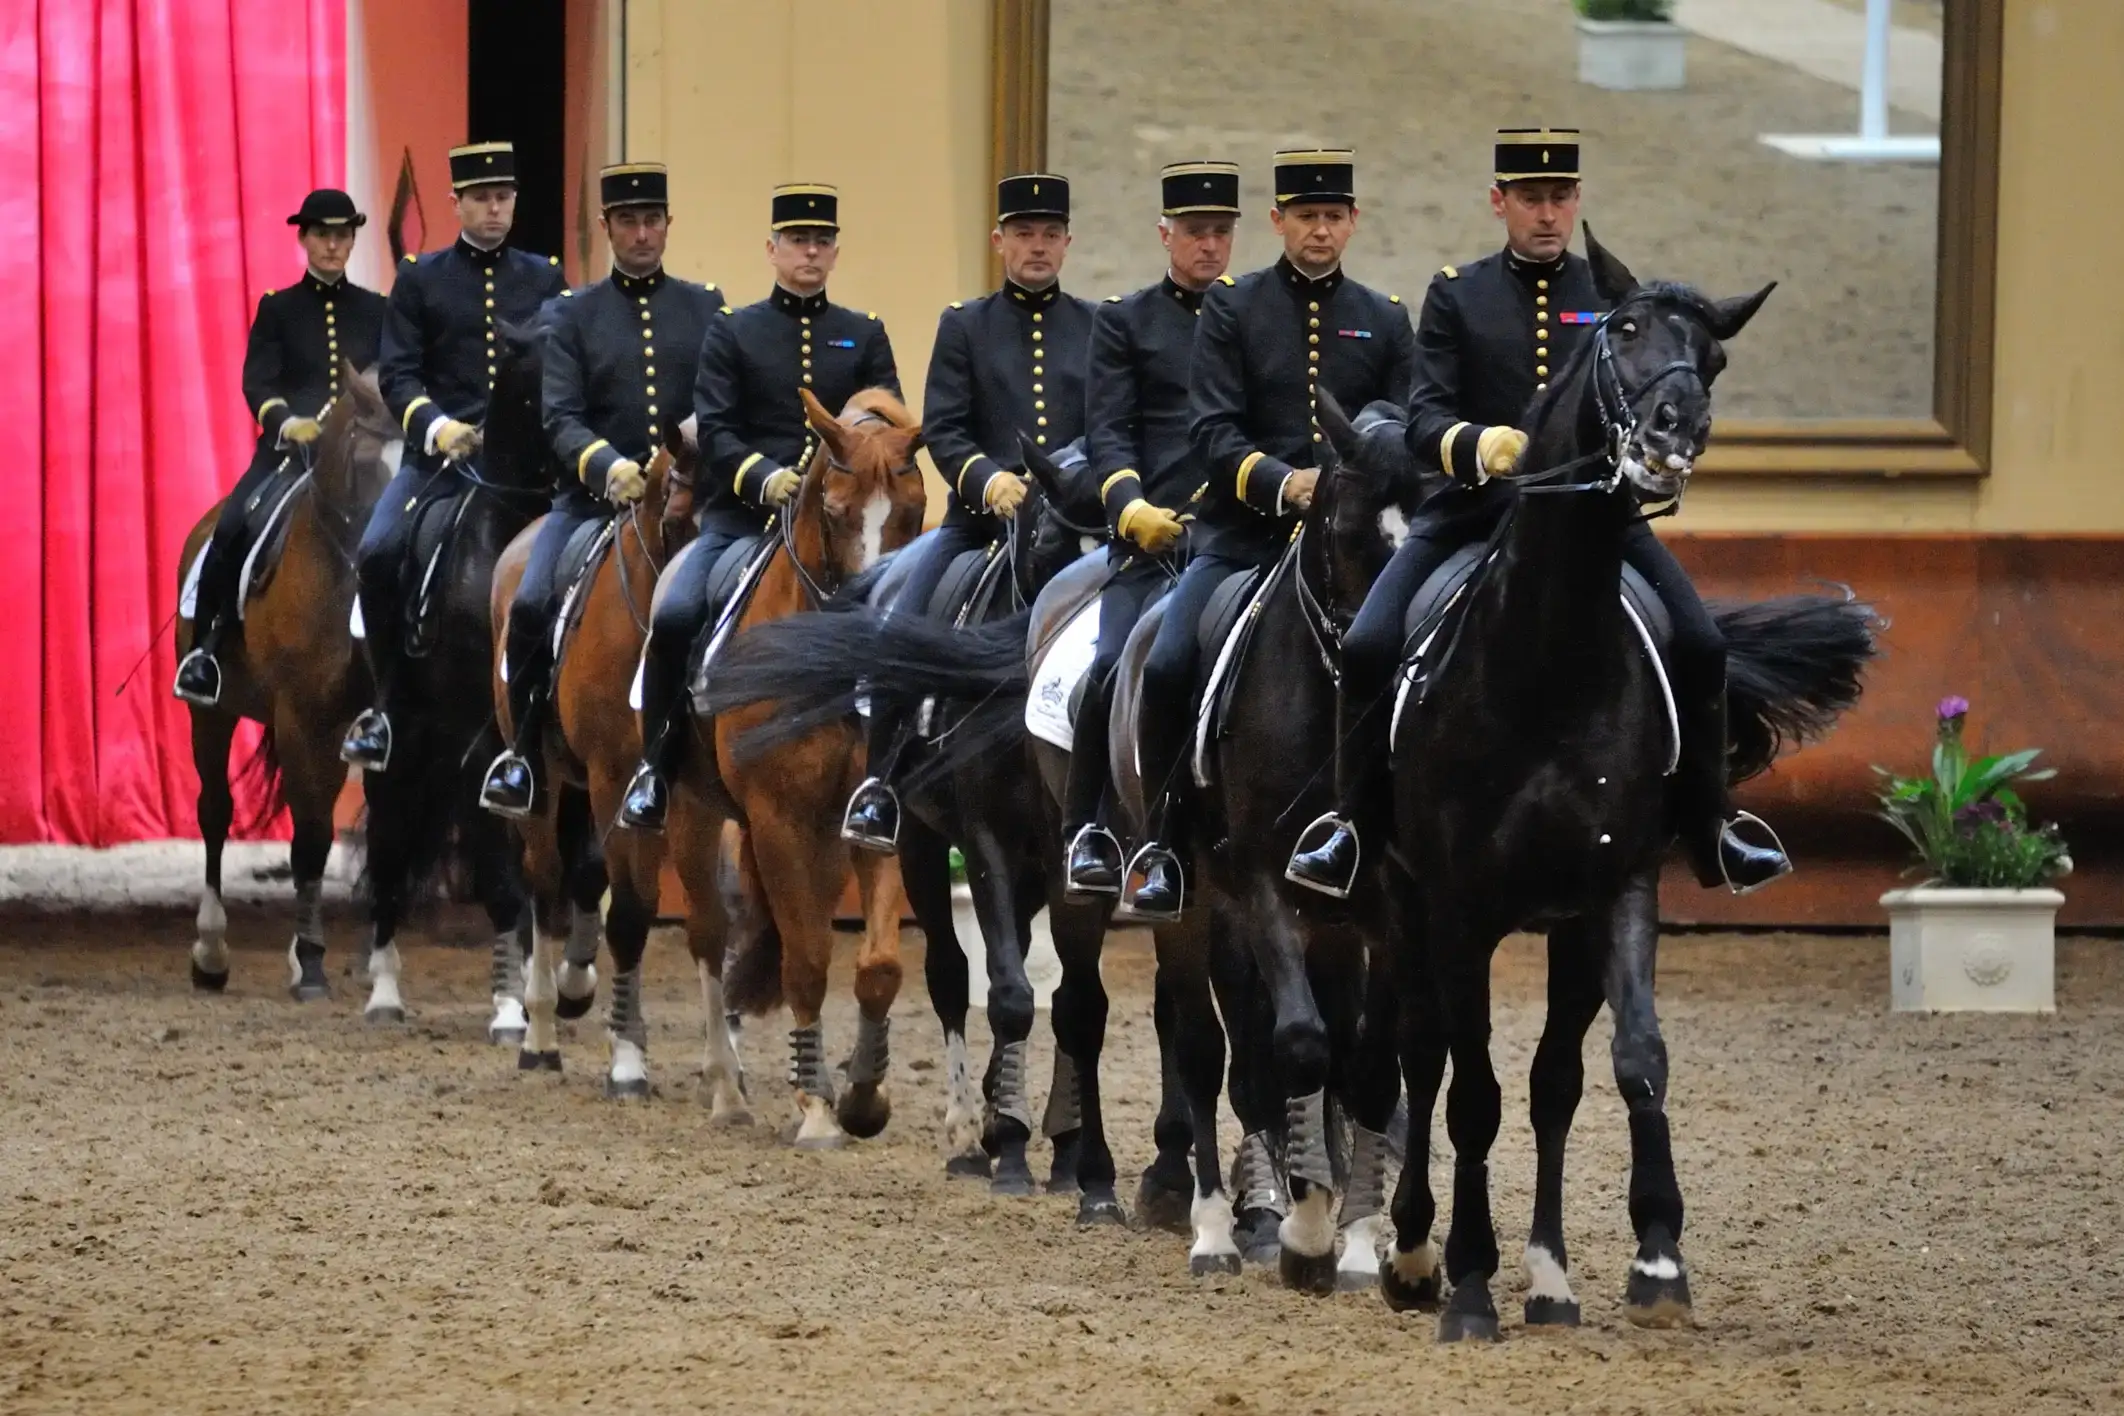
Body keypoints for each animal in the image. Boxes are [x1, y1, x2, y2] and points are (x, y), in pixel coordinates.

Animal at [174, 371, 401, 1002]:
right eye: (366, 462)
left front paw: (374, 960)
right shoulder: (303, 716)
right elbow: (312, 839)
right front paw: (315, 963)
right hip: (213, 713)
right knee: (215, 811)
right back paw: (211, 952)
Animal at [352, 320, 547, 1031]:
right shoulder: (480, 742)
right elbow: (499, 872)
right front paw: (512, 1008)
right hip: (403, 745)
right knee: (388, 846)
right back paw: (382, 992)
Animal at [486, 426, 696, 1095]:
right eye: (676, 521)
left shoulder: (653, 789)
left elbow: (634, 900)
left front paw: (622, 1037)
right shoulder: (609, 773)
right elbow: (625, 910)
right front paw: (625, 1059)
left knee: (583, 872)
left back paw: (574, 986)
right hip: (545, 774)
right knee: (544, 877)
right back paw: (540, 1032)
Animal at [666, 388, 926, 1137]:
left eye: (914, 512)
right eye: (836, 514)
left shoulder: (874, 815)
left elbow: (878, 965)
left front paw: (865, 1094)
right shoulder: (777, 820)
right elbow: (807, 958)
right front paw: (815, 1110)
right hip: (692, 814)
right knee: (709, 936)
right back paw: (727, 1087)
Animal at [1376, 230, 1877, 1341]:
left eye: (1716, 358)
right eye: (1629, 331)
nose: (1672, 431)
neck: (1545, 656)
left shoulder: (1617, 887)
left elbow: (1634, 1058)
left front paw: (1656, 1261)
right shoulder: (1459, 905)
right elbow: (1469, 1090)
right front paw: (1467, 1283)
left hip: (1564, 927)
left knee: (1554, 1079)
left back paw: (1551, 1279)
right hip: (1411, 906)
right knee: (1426, 1056)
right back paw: (1415, 1251)